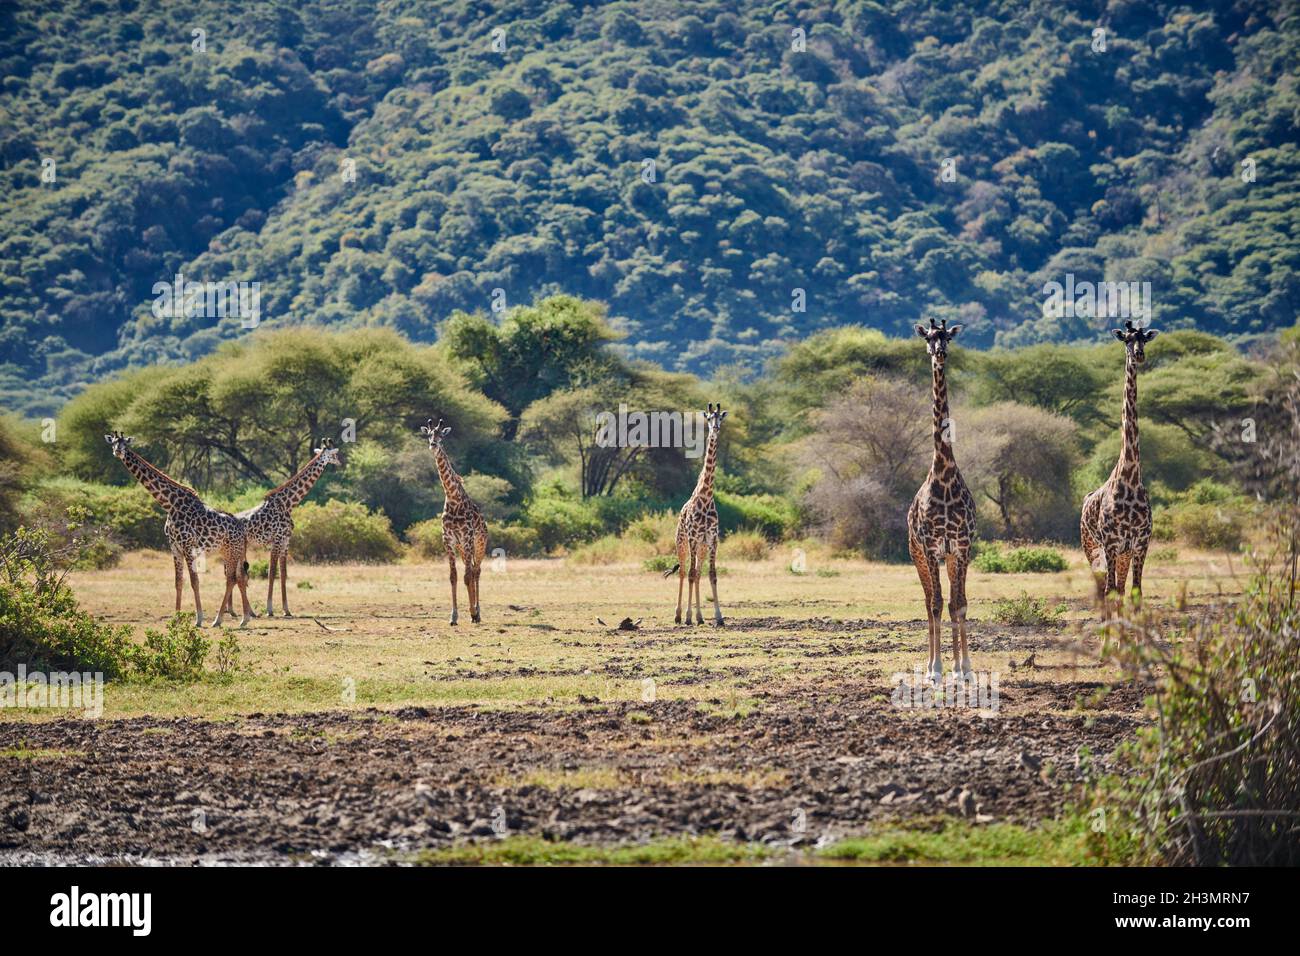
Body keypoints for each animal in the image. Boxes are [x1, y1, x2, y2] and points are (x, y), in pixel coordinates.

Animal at [104, 432, 253, 628]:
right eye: (113, 443)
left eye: (125, 444)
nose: (117, 452)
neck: (170, 504)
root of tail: (242, 530)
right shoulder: (174, 546)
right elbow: (178, 581)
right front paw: (176, 618)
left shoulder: (188, 545)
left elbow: (194, 581)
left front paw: (198, 619)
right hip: (228, 551)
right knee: (238, 577)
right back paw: (242, 619)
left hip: (233, 551)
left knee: (232, 578)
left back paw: (219, 620)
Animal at [221, 438, 340, 618]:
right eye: (334, 455)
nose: (340, 462)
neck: (288, 504)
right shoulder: (277, 540)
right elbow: (272, 573)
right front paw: (270, 609)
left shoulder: (286, 541)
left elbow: (283, 574)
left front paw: (286, 609)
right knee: (236, 573)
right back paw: (242, 611)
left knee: (233, 572)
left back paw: (236, 611)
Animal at [420, 419, 488, 625]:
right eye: (429, 434)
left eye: (441, 435)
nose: (433, 445)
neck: (453, 497)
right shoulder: (448, 540)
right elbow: (453, 576)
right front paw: (454, 616)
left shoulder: (467, 538)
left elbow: (467, 576)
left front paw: (472, 612)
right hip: (463, 548)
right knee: (471, 570)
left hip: (479, 544)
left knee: (476, 570)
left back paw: (477, 613)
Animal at [664, 403, 727, 626]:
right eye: (708, 418)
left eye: (720, 418)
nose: (715, 428)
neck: (706, 497)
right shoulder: (692, 538)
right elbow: (690, 574)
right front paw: (688, 616)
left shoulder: (712, 539)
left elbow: (712, 575)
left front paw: (718, 617)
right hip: (682, 543)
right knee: (684, 572)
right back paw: (679, 615)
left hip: (702, 547)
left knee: (698, 573)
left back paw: (700, 617)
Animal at [1080, 321, 1160, 610]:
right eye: (1126, 339)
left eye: (1144, 339)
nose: (1139, 355)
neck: (1131, 477)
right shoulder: (1111, 543)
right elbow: (1109, 592)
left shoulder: (1140, 542)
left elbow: (1135, 593)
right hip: (1091, 549)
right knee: (1105, 591)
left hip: (1122, 554)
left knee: (1121, 590)